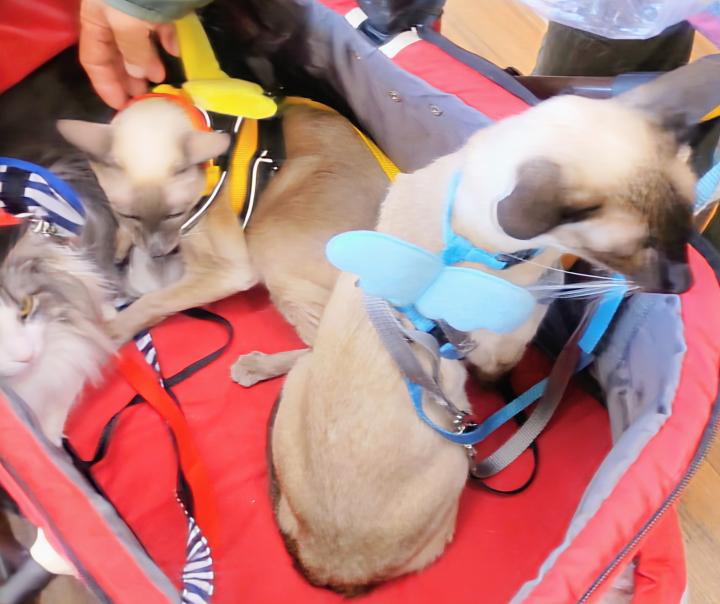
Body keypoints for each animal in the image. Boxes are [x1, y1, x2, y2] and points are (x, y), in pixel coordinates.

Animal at [57, 99, 390, 354]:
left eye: (175, 214)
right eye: (128, 215)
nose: (157, 254)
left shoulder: (230, 270)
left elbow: (154, 300)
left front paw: (113, 331)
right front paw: (122, 244)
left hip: (269, 246)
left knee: (318, 352)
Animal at [270, 93, 696, 593]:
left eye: (686, 227)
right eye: (633, 249)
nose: (684, 285)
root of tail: (329, 569)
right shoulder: (506, 345)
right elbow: (515, 375)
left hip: (302, 375)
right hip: (454, 456)